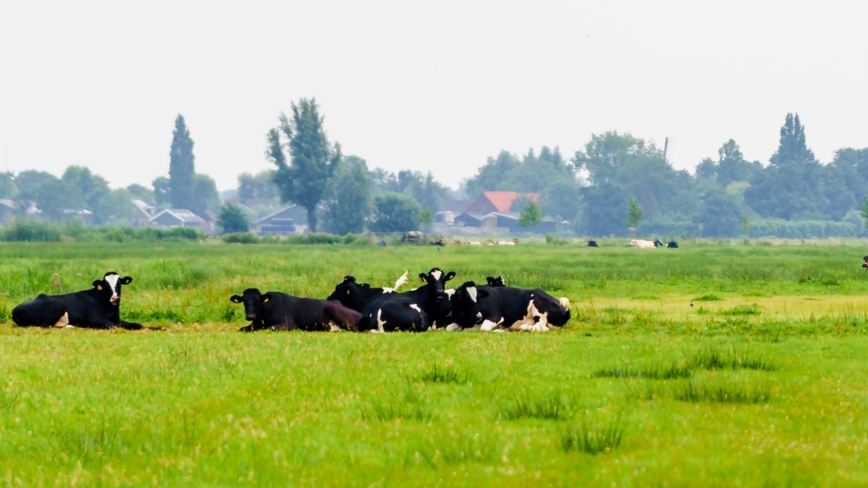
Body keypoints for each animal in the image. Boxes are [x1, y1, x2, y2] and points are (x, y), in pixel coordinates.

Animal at [12, 272, 144, 330]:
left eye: (119, 284)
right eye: (106, 285)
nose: (115, 297)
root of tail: (16, 308)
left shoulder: (117, 319)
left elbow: (138, 325)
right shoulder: (96, 319)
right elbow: (115, 327)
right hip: (58, 305)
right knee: (46, 325)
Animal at [229, 288, 361, 332]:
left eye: (257, 301)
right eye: (244, 302)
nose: (250, 316)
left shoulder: (289, 324)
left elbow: (271, 328)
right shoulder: (254, 324)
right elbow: (241, 329)